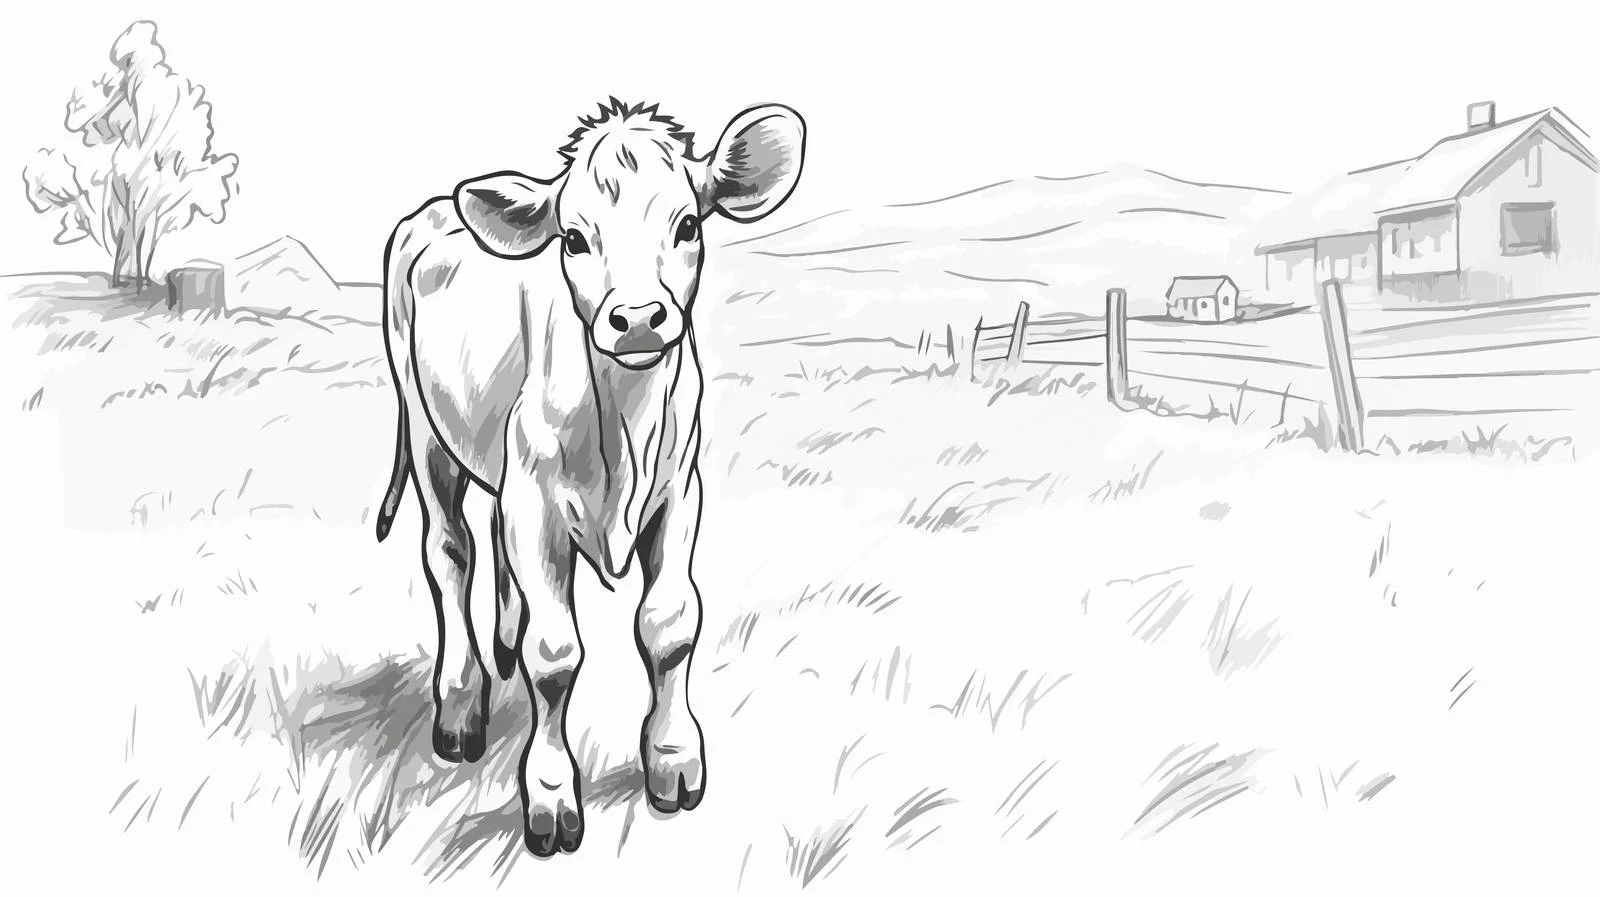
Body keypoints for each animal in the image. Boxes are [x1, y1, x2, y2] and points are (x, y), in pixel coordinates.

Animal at [373, 99, 805, 857]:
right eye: (573, 239)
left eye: (687, 225)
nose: (636, 319)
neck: (624, 425)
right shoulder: (536, 503)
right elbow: (555, 654)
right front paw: (549, 795)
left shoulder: (678, 491)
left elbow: (670, 623)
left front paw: (673, 761)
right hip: (426, 433)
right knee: (450, 551)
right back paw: (459, 706)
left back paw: (501, 644)